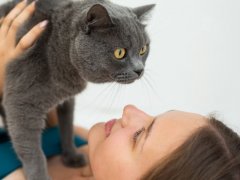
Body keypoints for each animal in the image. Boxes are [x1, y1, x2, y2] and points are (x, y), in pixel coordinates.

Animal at [0, 0, 154, 179]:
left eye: (143, 49)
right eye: (119, 53)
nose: (139, 69)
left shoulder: (67, 100)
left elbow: (67, 126)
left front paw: (71, 156)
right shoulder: (22, 102)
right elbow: (32, 152)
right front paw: (40, 176)